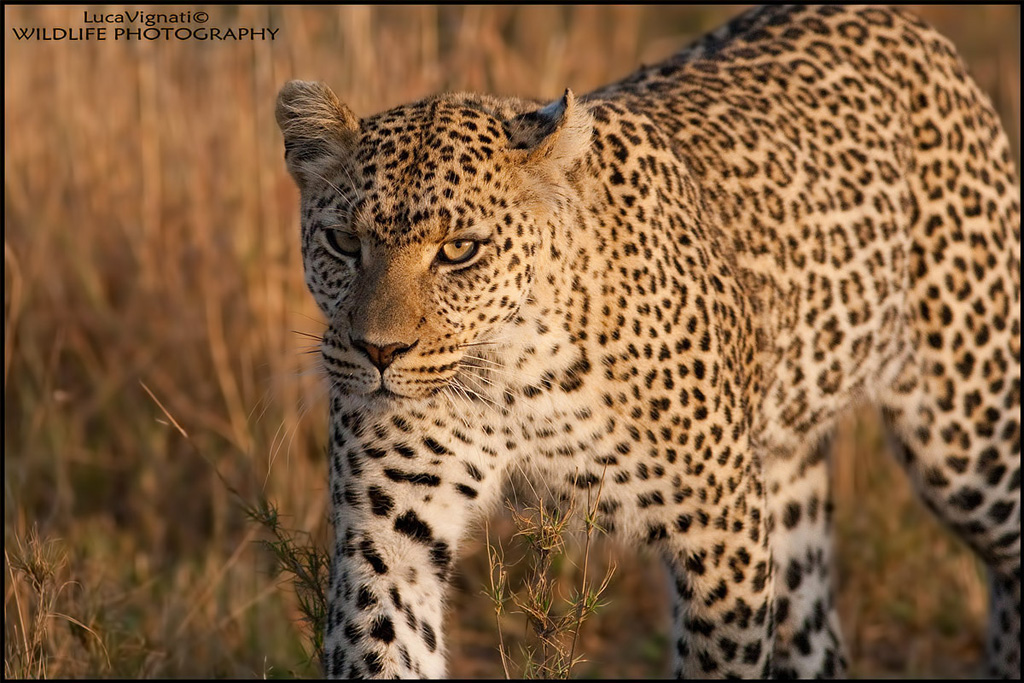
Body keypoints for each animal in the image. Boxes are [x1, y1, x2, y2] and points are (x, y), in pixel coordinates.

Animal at [275, 5, 1020, 678]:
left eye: (460, 250)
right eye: (343, 243)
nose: (378, 353)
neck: (512, 376)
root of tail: (905, 23)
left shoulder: (721, 527)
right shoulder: (388, 536)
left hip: (968, 434)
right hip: (788, 476)